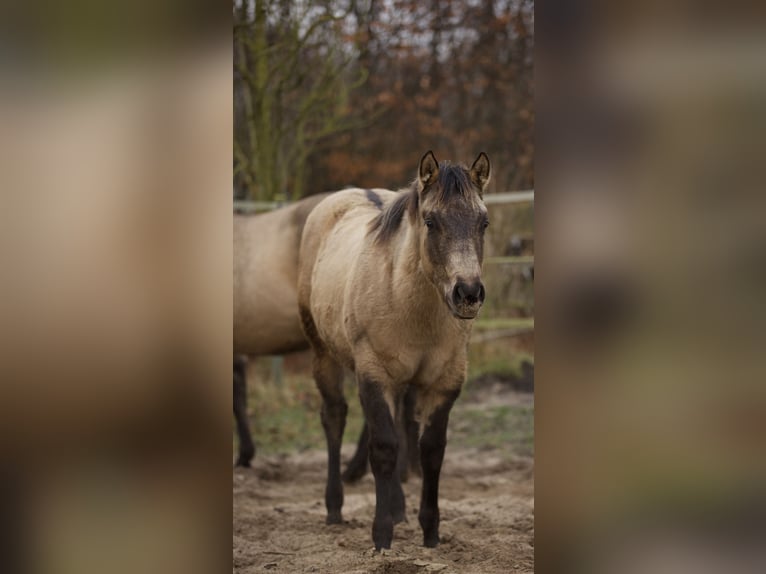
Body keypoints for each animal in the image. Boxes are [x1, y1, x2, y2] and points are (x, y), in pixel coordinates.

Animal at [300, 151, 492, 552]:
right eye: (431, 221)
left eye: (483, 222)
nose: (467, 293)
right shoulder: (374, 374)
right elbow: (384, 449)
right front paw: (382, 535)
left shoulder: (446, 381)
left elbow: (431, 450)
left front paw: (430, 533)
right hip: (323, 354)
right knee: (335, 418)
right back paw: (334, 507)